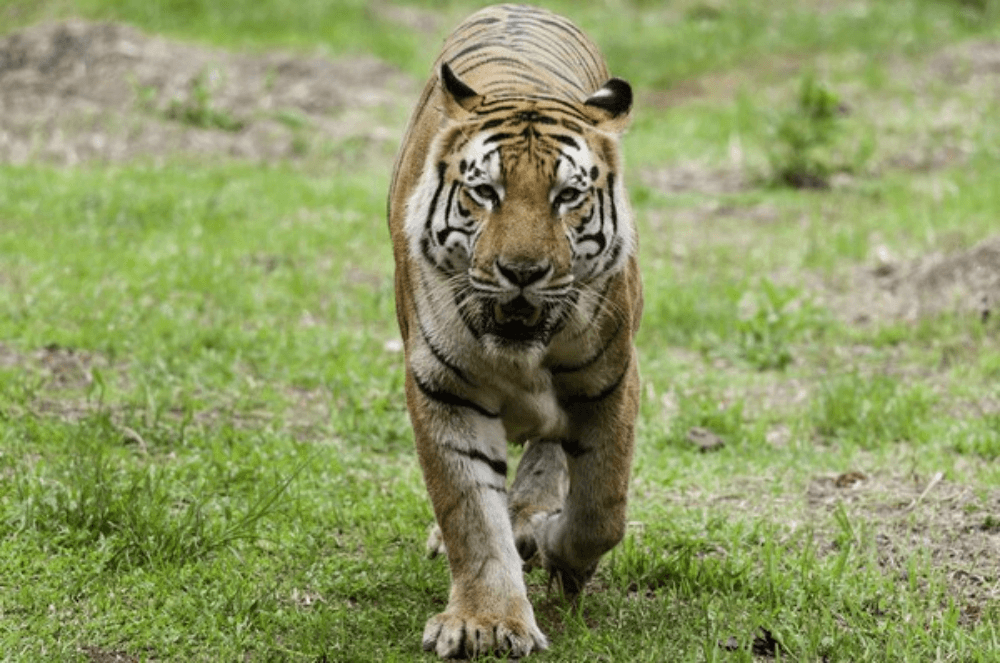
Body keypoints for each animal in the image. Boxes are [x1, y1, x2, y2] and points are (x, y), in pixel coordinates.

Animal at [382, 3, 640, 660]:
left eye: (567, 196)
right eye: (485, 192)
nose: (521, 272)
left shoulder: (610, 378)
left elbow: (603, 505)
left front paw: (561, 557)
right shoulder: (442, 387)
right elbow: (470, 511)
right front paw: (487, 621)